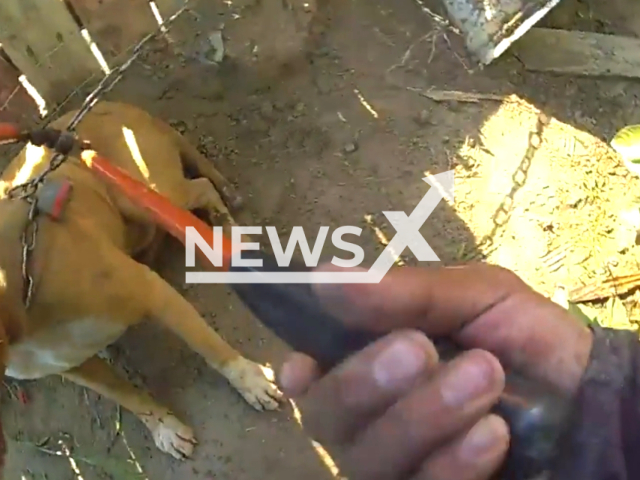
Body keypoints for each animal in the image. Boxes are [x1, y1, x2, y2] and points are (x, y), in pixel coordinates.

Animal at [0, 102, 282, 462]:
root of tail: (111, 104)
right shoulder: (74, 367)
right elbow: (128, 397)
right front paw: (165, 427)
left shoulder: (153, 293)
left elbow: (211, 348)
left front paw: (250, 382)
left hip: (149, 194)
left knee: (202, 187)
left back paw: (230, 236)